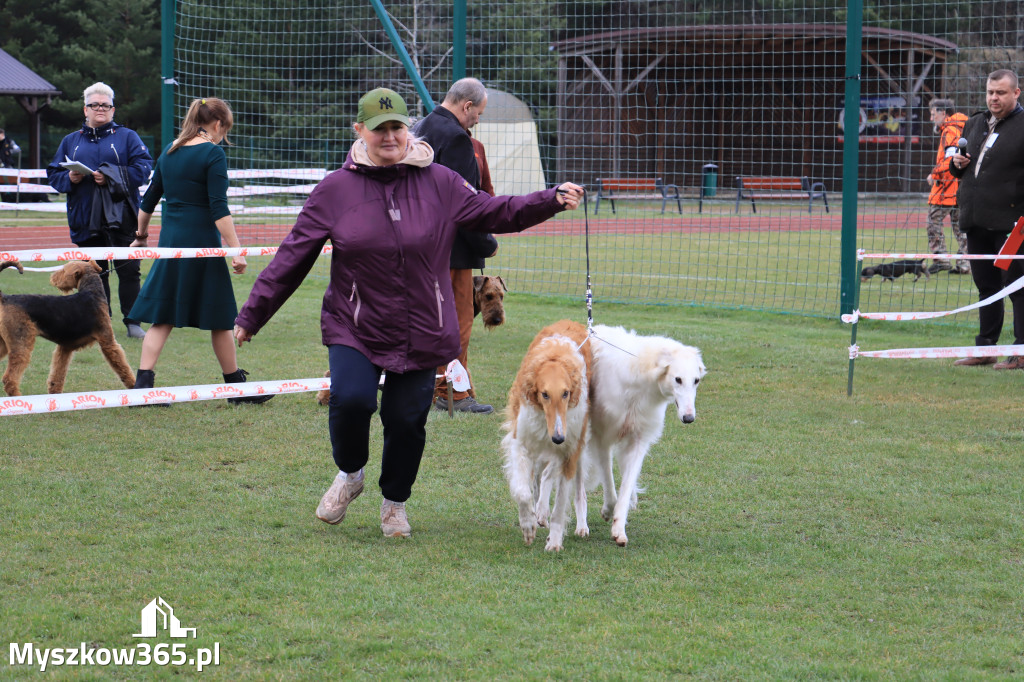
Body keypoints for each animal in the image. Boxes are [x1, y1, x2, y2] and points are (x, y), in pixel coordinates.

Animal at [0, 259, 136, 393]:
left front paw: (54, 391)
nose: (52, 278)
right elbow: (123, 367)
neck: (92, 292)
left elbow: (58, 374)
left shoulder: (65, 347)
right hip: (21, 344)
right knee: (9, 379)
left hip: (5, 344)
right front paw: (134, 385)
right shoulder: (108, 342)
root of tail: (5, 298)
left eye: (64, 270)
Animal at [497, 317, 593, 548]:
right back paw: (538, 512)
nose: (558, 438)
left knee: (576, 489)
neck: (554, 358)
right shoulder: (521, 441)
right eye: (544, 394)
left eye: (566, 393)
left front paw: (554, 541)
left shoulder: (569, 449)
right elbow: (523, 492)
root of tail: (569, 320)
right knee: (540, 478)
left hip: (577, 446)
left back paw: (580, 525)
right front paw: (528, 524)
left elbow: (560, 505)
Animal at [581, 323, 708, 548]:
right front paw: (607, 510)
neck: (639, 374)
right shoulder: (602, 435)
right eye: (677, 379)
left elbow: (626, 486)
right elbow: (610, 485)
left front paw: (619, 530)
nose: (688, 418)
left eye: (696, 381)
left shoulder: (638, 440)